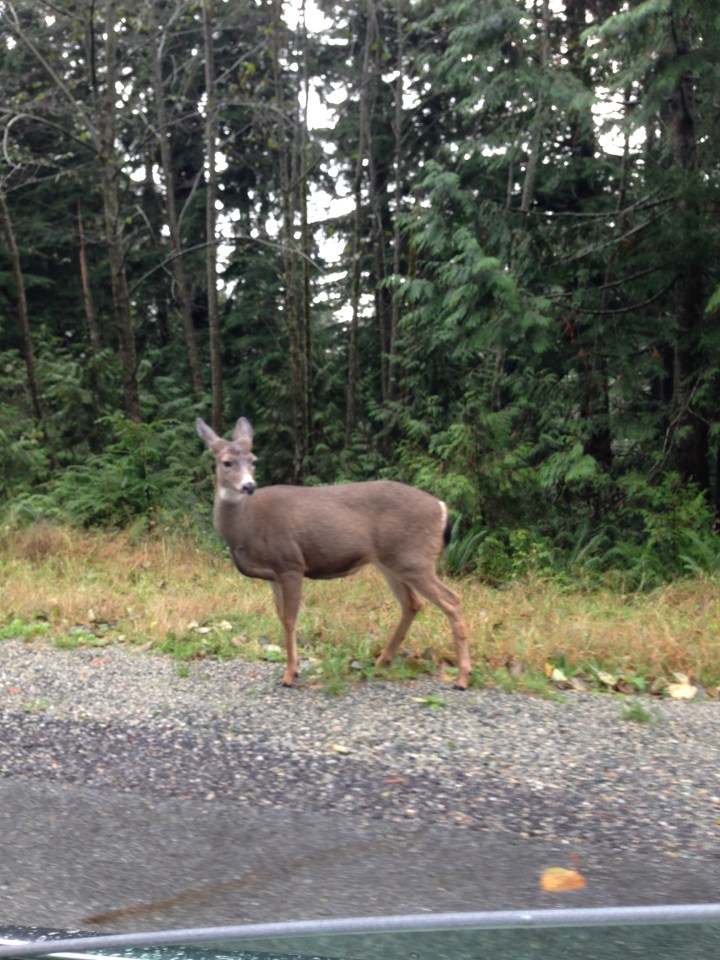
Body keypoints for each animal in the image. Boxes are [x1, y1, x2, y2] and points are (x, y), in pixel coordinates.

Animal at [196, 417, 472, 690]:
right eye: (226, 462)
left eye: (253, 460)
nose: (249, 486)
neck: (246, 526)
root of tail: (441, 507)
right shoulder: (273, 574)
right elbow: (281, 616)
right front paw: (294, 669)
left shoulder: (290, 563)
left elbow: (290, 619)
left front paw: (290, 674)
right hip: (391, 562)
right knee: (412, 603)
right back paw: (383, 660)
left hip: (414, 558)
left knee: (452, 600)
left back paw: (462, 677)